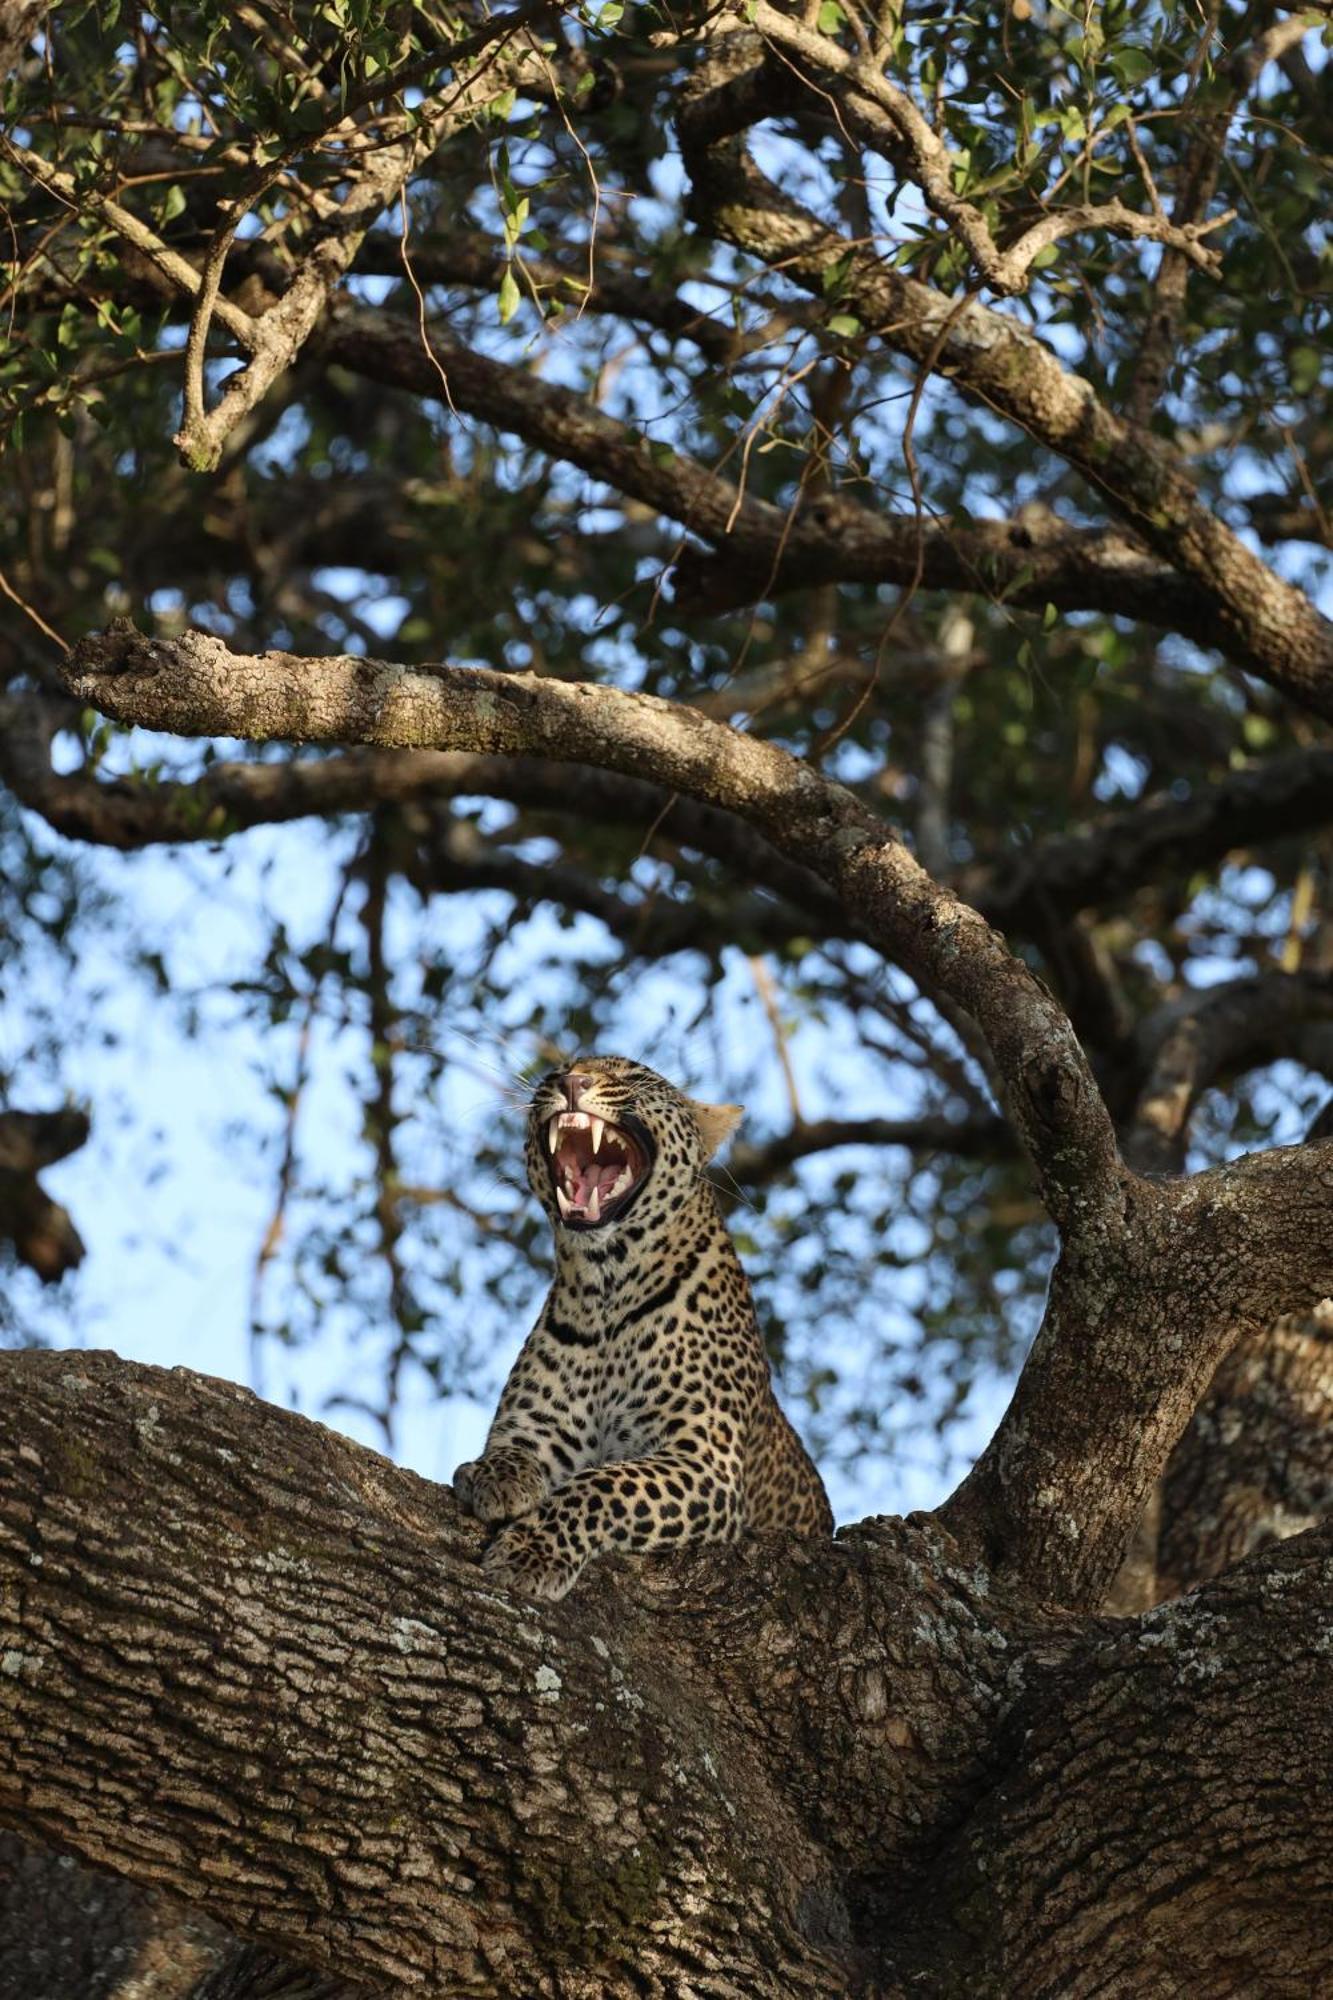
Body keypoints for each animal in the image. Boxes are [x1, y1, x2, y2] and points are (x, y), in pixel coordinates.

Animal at [456, 1056, 832, 1600]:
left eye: (634, 1077)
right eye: (558, 1070)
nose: (572, 1082)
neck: (605, 1293)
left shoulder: (704, 1460)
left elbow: (604, 1485)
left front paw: (533, 1551)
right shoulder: (536, 1426)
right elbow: (516, 1448)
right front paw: (495, 1475)